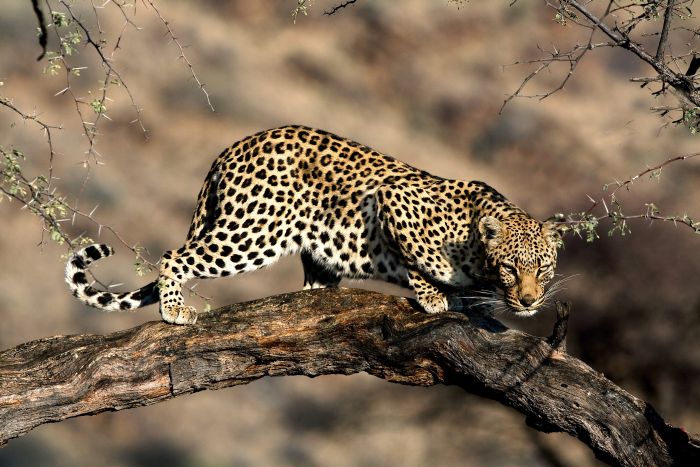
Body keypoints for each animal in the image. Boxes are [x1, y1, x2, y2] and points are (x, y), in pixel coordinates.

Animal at [65, 125, 568, 326]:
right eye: (511, 268)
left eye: (543, 269)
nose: (529, 300)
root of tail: (233, 147)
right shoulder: (393, 199)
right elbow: (416, 260)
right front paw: (434, 295)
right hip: (252, 232)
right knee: (175, 256)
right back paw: (174, 310)